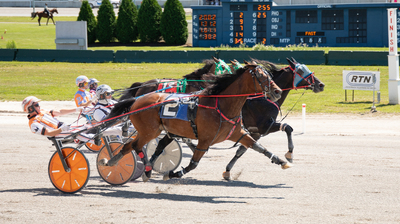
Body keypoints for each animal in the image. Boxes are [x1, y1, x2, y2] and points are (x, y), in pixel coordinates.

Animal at [98, 62, 290, 181]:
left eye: (269, 75)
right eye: (261, 77)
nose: (278, 91)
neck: (221, 104)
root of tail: (137, 100)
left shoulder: (238, 133)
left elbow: (258, 147)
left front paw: (282, 161)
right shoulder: (205, 140)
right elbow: (193, 164)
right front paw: (172, 174)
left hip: (155, 130)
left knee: (128, 146)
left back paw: (112, 162)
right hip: (149, 131)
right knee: (135, 146)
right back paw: (145, 169)